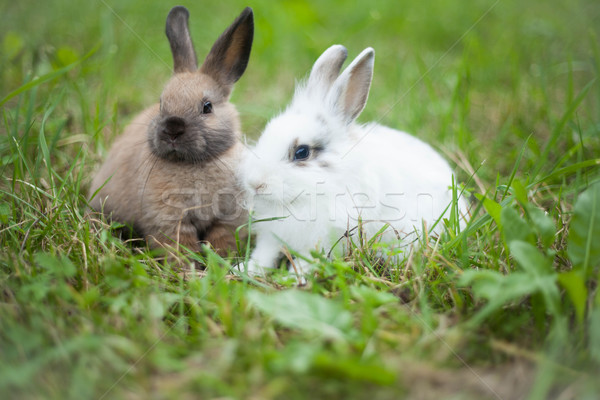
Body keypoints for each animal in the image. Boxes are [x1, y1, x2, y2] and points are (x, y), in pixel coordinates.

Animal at [88, 7, 252, 260]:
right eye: (161, 103)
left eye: (207, 107)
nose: (173, 129)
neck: (192, 164)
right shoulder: (171, 221)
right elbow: (179, 247)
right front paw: (188, 267)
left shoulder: (227, 219)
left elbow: (221, 240)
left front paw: (221, 261)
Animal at [238, 43, 468, 276]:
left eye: (302, 152)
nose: (255, 183)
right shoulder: (270, 237)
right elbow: (264, 256)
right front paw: (245, 270)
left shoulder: (324, 240)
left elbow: (308, 261)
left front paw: (296, 278)